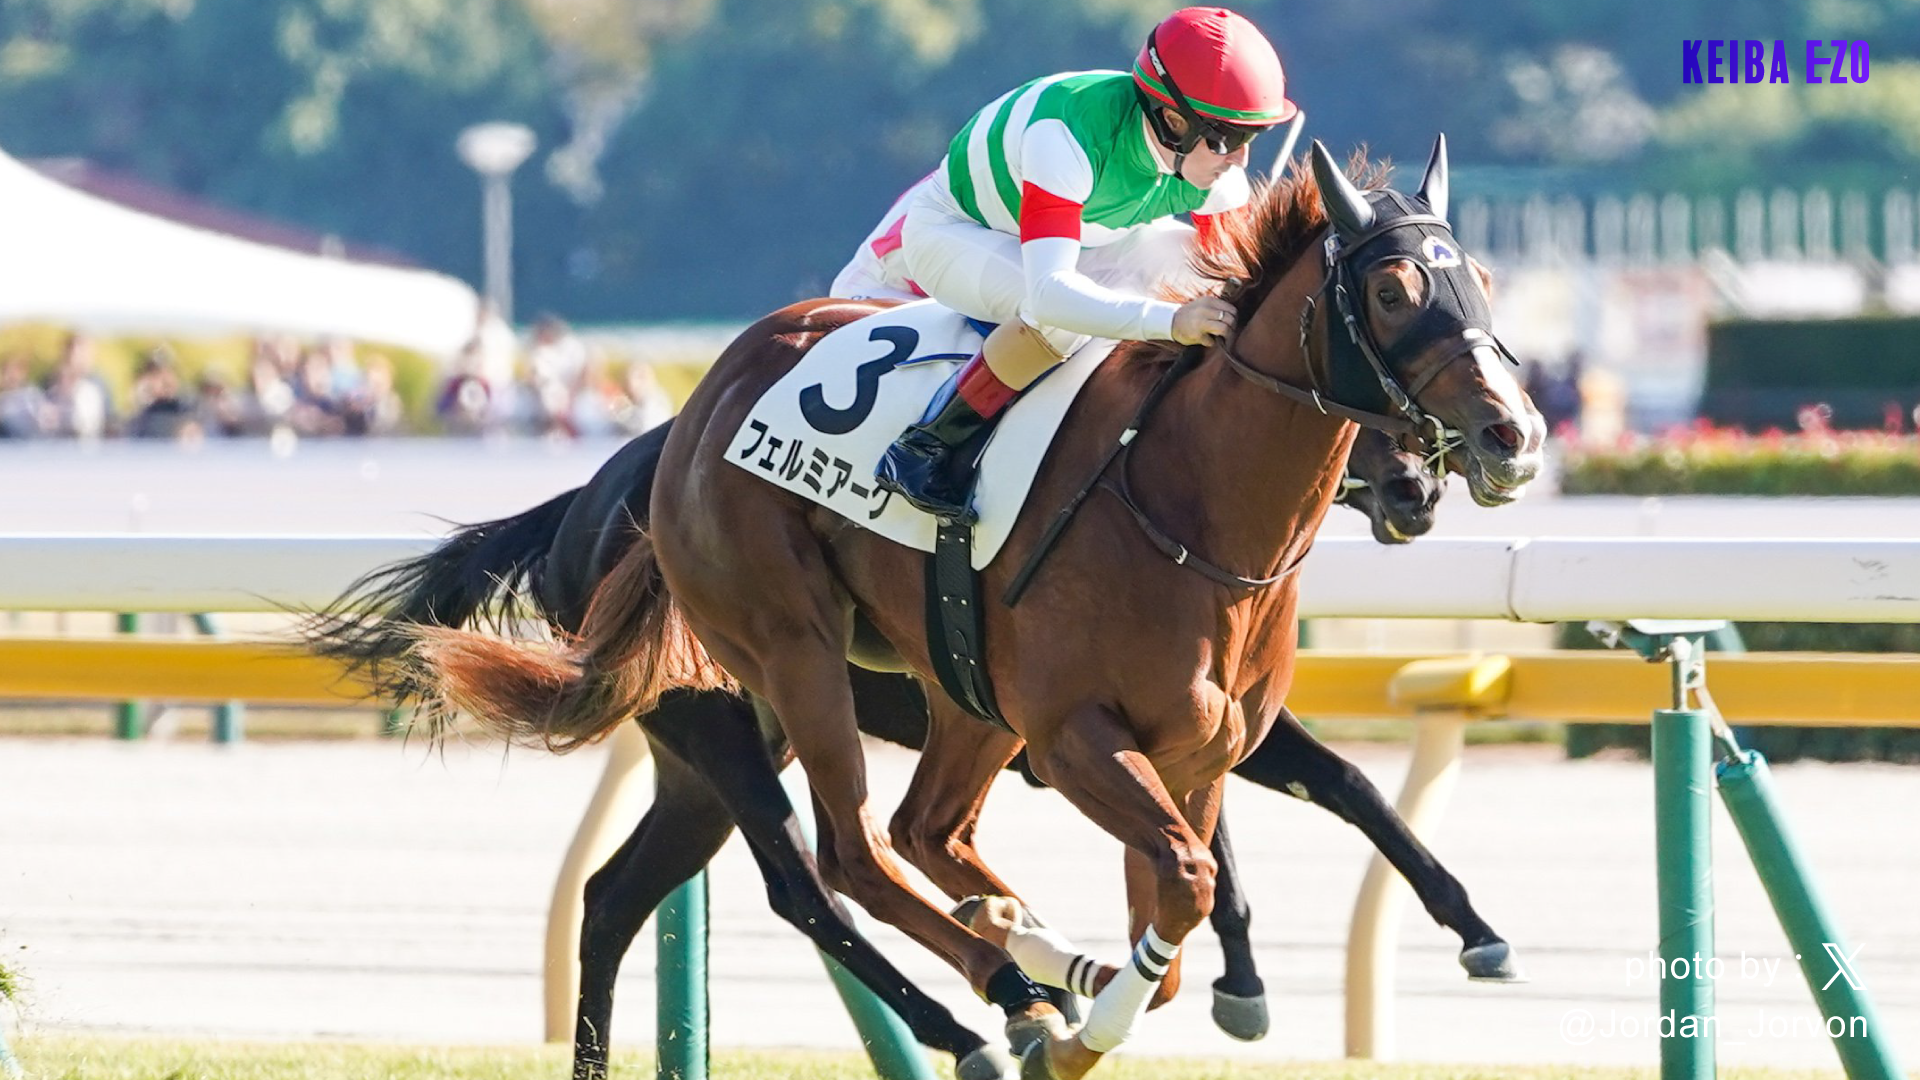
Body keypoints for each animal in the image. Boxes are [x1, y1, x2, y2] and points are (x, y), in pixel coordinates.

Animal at [402, 140, 1545, 1079]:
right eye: (1393, 289)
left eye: (1482, 283)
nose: (1505, 440)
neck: (1188, 503)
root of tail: (654, 455)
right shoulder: (1079, 736)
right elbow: (1195, 867)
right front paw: (1121, 1013)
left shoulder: (1203, 746)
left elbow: (1253, 847)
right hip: (777, 669)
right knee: (834, 863)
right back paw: (990, 1009)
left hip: (856, 719)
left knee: (648, 890)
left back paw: (1025, 955)